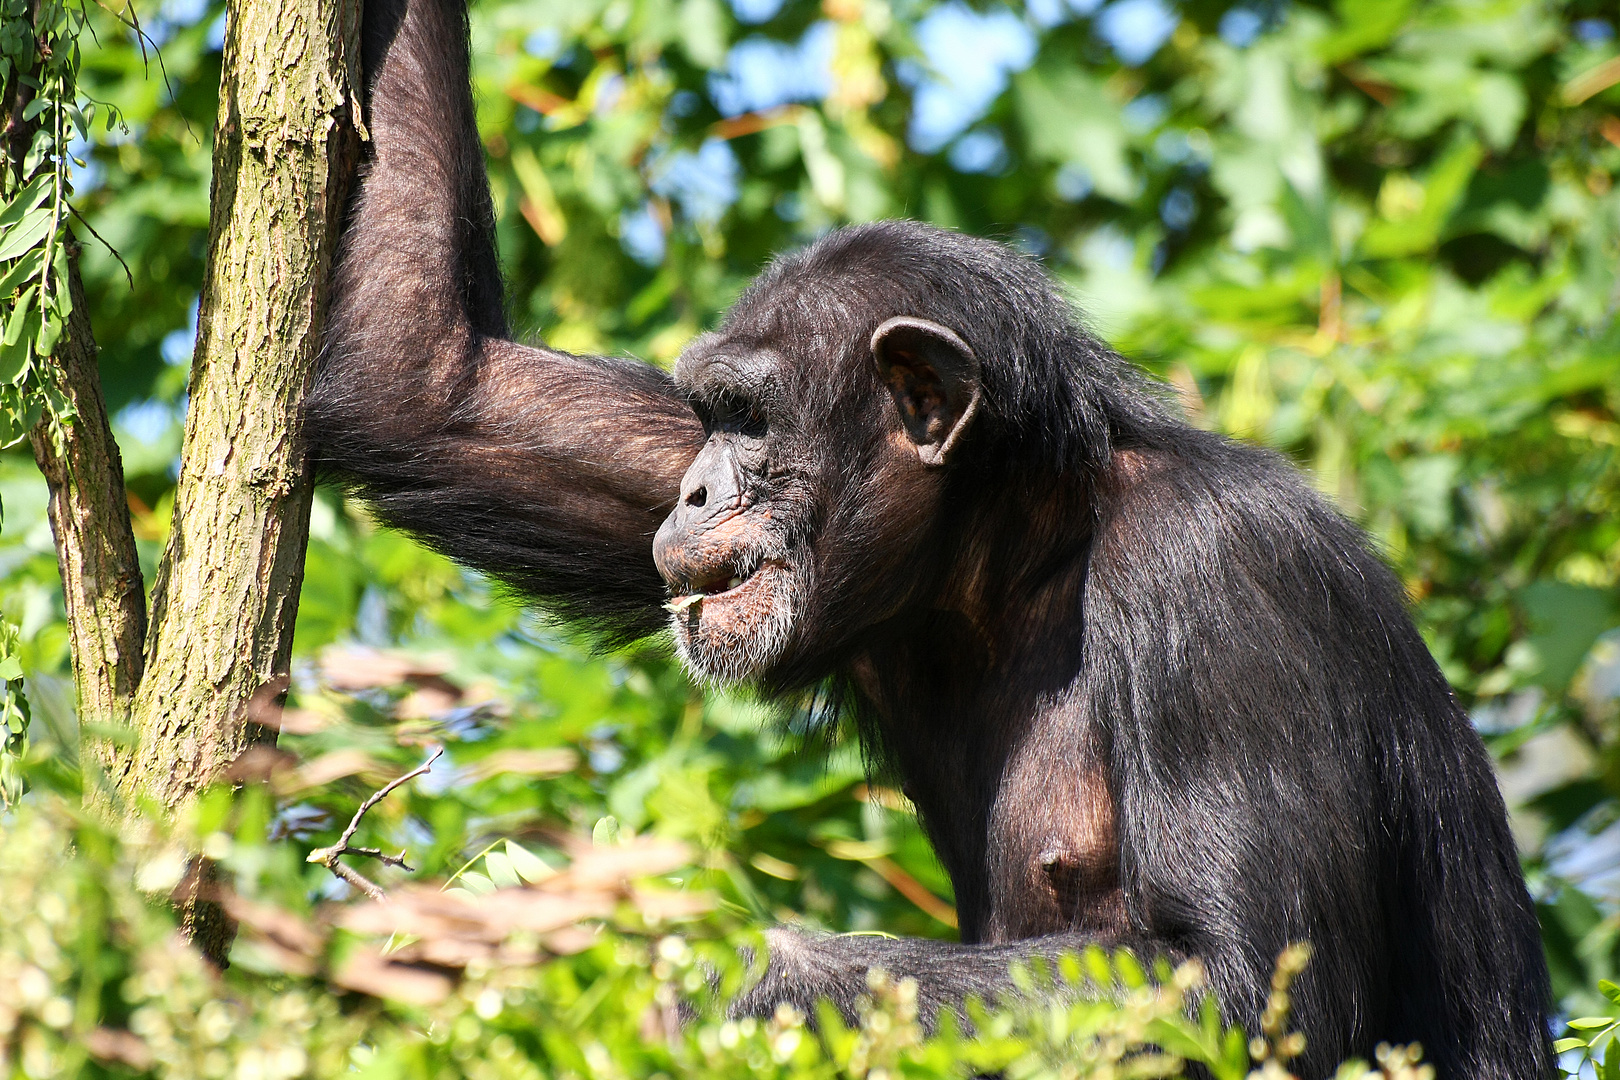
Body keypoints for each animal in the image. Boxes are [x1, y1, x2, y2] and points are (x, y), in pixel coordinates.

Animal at [304, 0, 1555, 1075]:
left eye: (749, 419)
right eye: (704, 415)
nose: (696, 491)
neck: (1021, 555)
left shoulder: (1220, 577)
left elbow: (1241, 983)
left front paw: (695, 968)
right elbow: (432, 384)